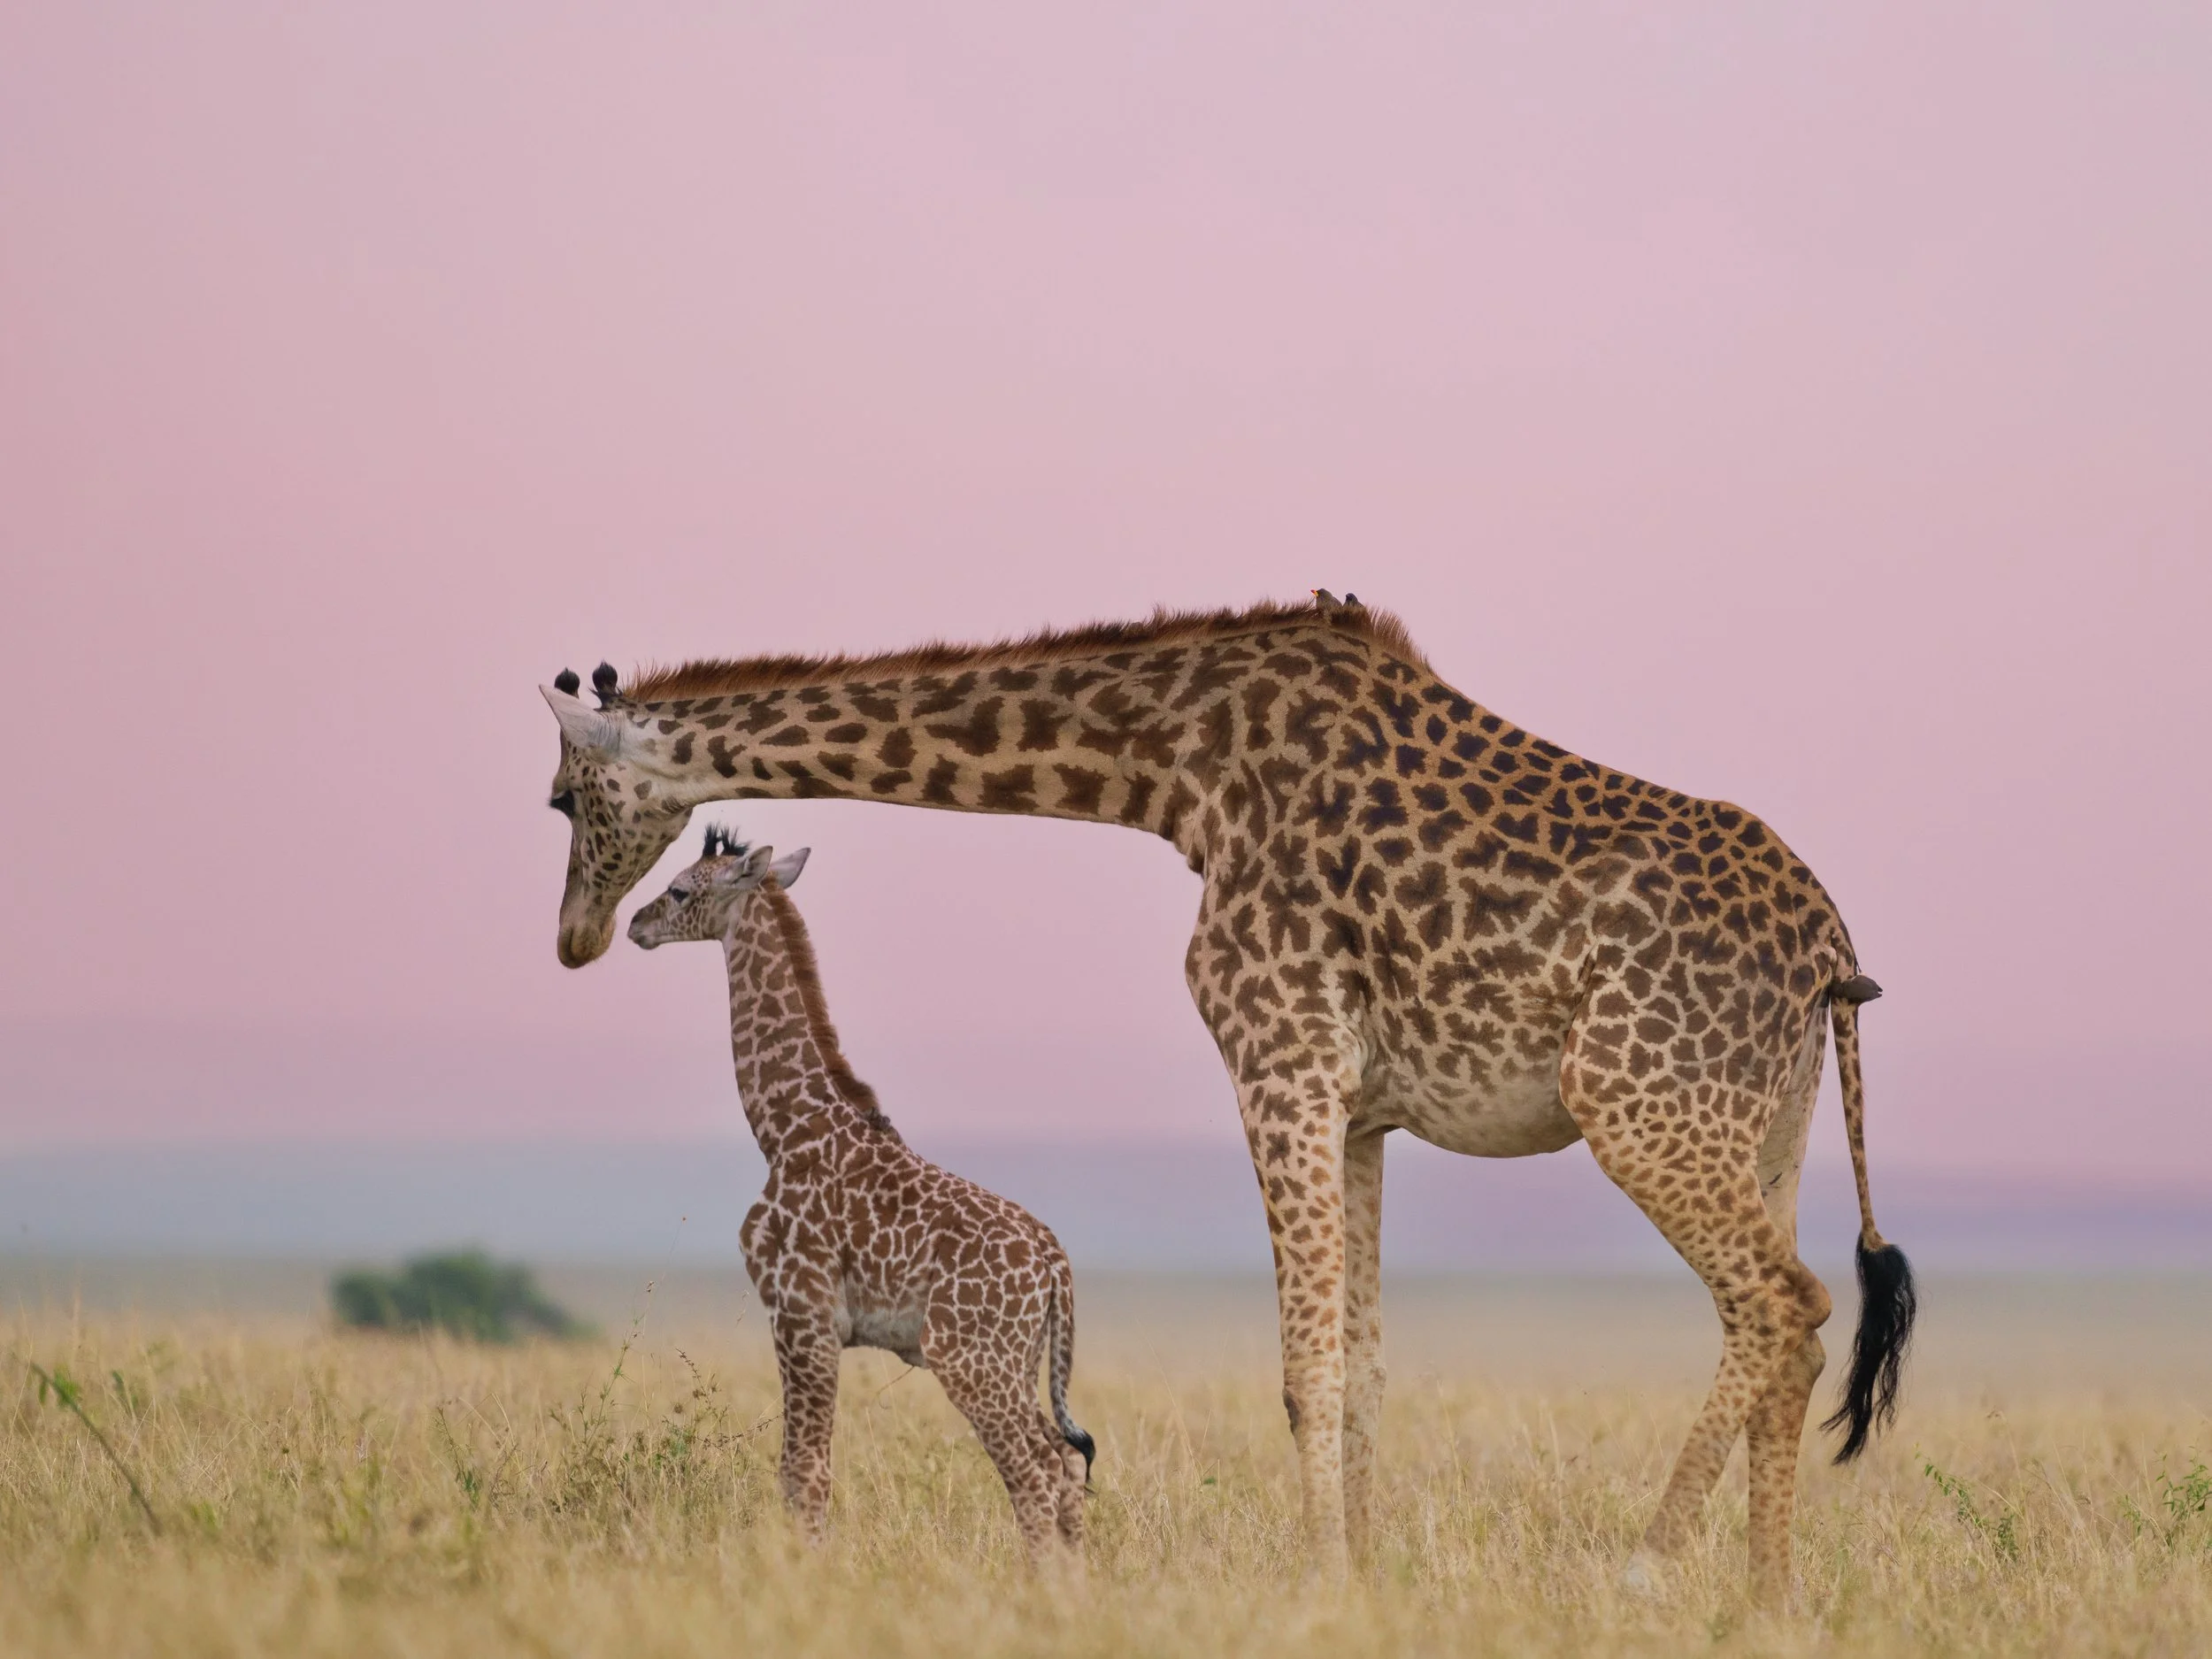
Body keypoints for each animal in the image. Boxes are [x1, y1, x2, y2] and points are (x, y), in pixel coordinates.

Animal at [627, 824, 1094, 1563]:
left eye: (677, 889)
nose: (635, 924)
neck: (783, 1125)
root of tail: (1055, 1267)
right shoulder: (812, 1323)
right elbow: (804, 1467)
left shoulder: (801, 1312)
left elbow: (803, 1470)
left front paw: (806, 1568)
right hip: (1019, 1361)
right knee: (1068, 1463)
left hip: (970, 1359)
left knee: (1039, 1471)